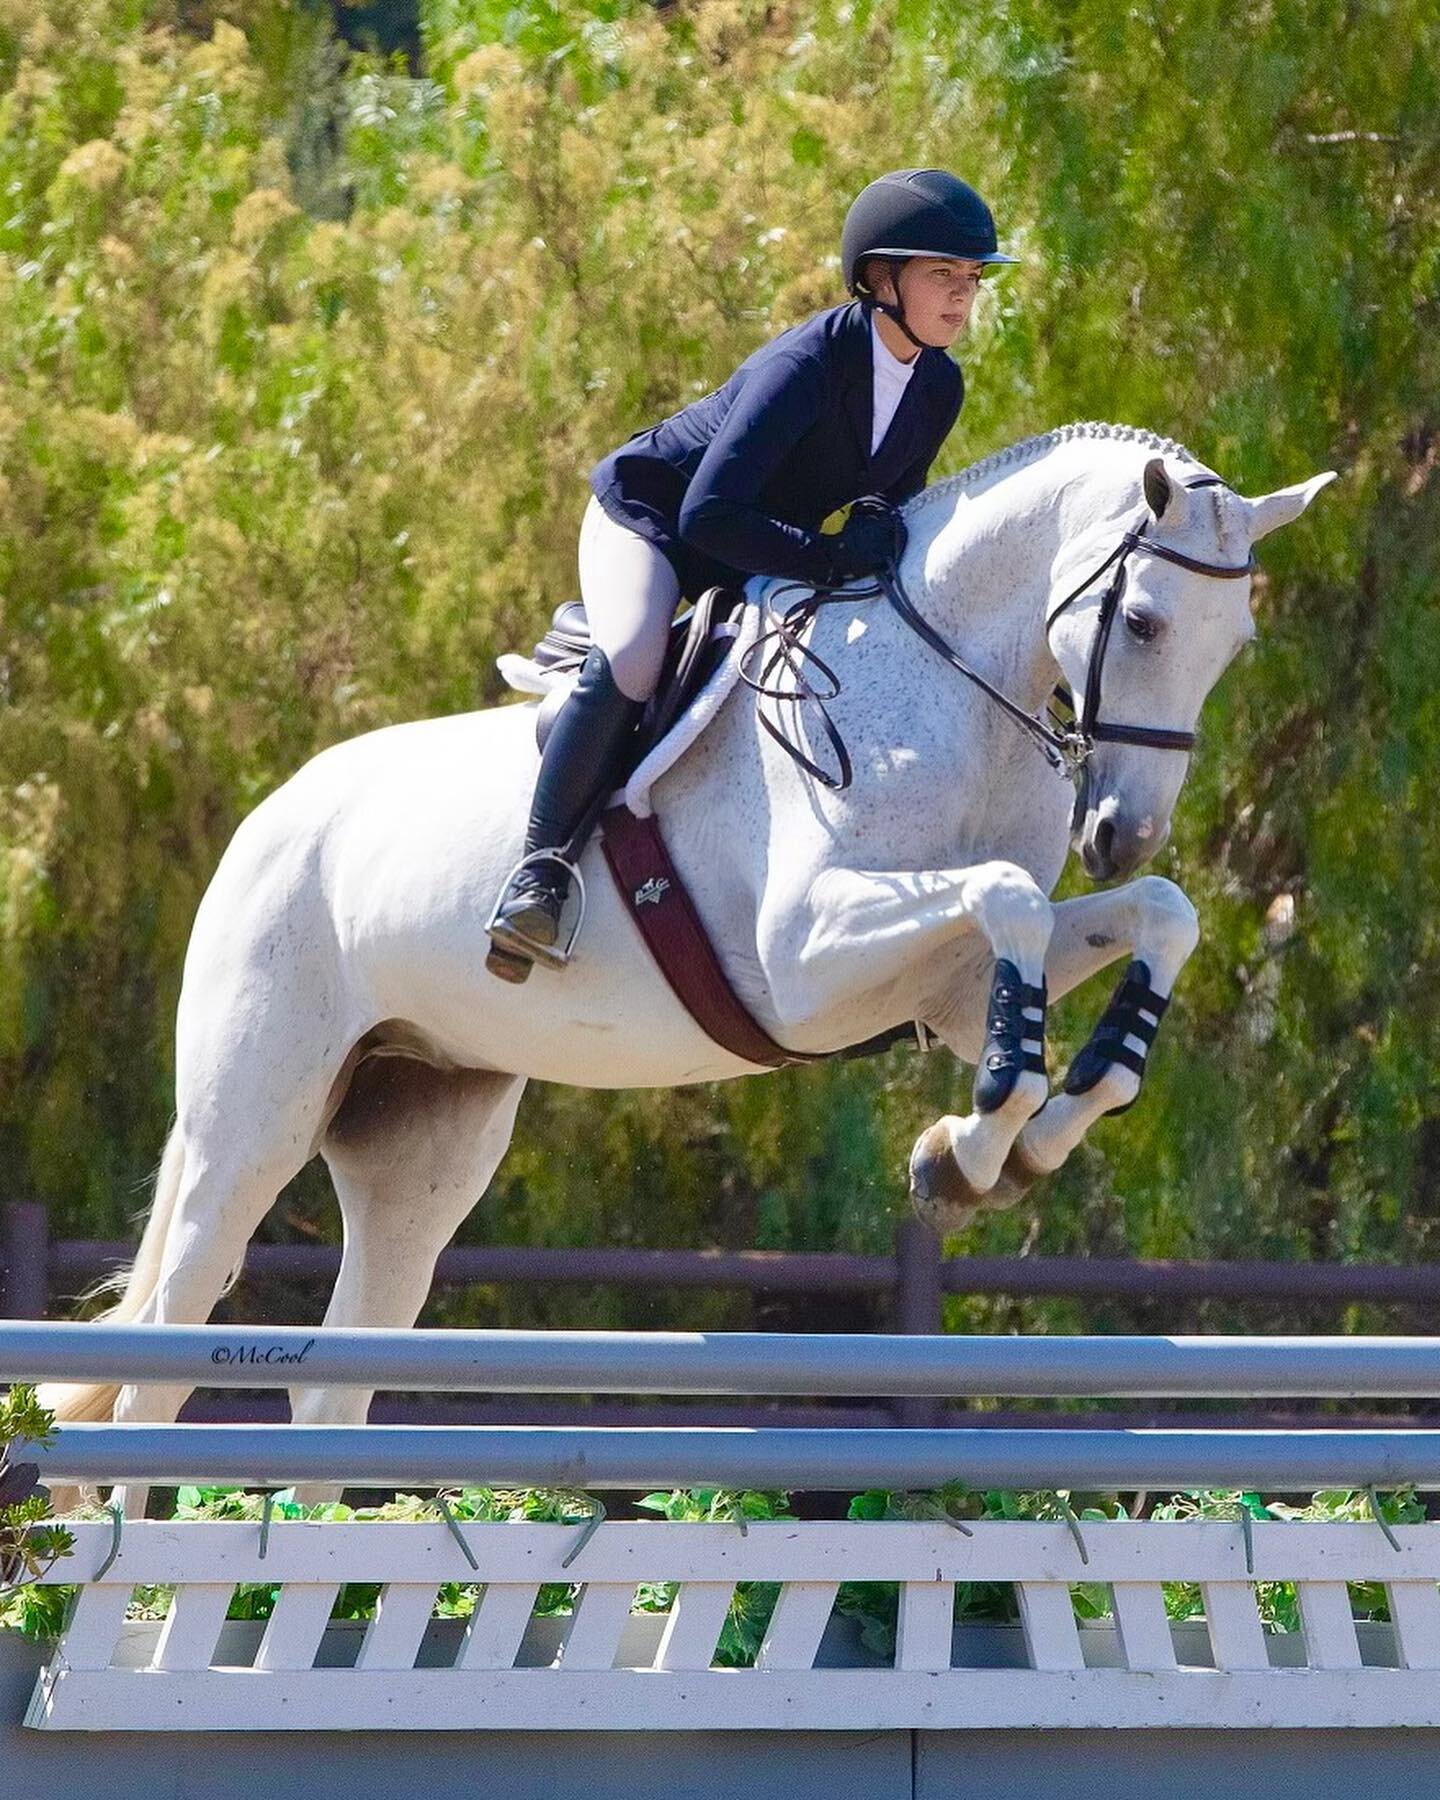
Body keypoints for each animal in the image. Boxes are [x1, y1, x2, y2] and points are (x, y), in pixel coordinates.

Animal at [39, 424, 1332, 1490]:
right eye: (1146, 622)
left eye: (1237, 641)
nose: (1120, 830)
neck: (954, 688)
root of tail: (272, 815)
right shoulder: (807, 965)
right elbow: (1009, 901)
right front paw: (973, 1152)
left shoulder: (950, 981)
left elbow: (1152, 923)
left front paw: (989, 1153)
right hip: (254, 1120)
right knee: (165, 1358)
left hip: (423, 1137)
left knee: (336, 1382)